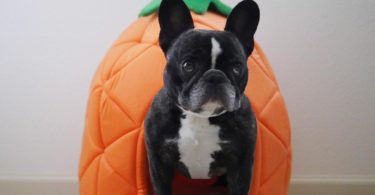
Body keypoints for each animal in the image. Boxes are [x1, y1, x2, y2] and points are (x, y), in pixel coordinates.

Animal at [145, 0, 260, 193]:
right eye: (187, 65)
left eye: (237, 67)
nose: (215, 76)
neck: (201, 118)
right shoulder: (158, 163)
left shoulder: (241, 167)